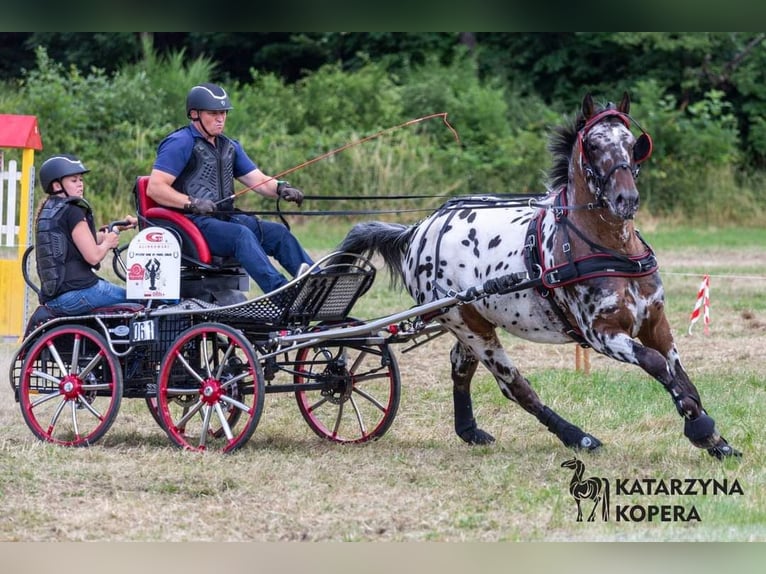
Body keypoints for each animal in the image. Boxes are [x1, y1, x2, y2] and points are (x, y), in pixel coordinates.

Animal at [338, 94, 744, 464]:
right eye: (593, 144)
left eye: (632, 144)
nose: (625, 199)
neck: (609, 250)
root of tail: (416, 231)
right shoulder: (601, 335)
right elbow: (657, 365)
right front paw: (700, 429)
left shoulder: (655, 322)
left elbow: (679, 373)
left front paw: (716, 439)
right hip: (471, 328)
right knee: (515, 387)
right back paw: (578, 438)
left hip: (471, 322)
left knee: (460, 368)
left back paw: (470, 431)